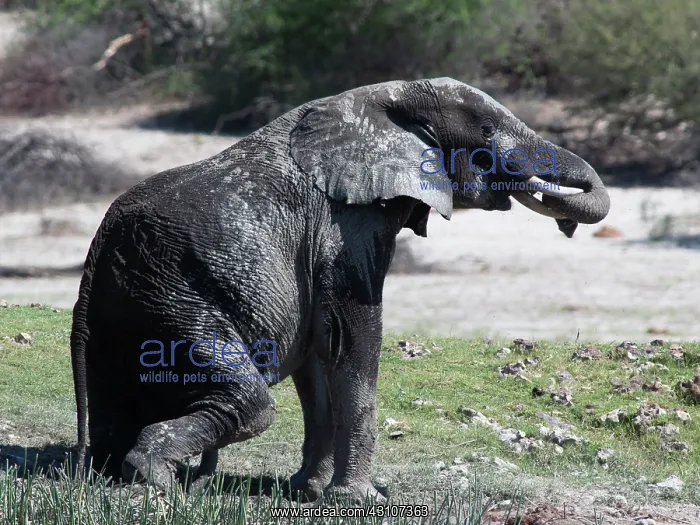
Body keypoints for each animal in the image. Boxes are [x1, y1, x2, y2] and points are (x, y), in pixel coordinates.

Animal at [70, 77, 610, 504]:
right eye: (487, 132)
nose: (564, 222)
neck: (386, 96)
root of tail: (96, 250)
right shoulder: (347, 225)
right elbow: (354, 338)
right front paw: (359, 500)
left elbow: (318, 353)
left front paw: (307, 490)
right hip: (174, 295)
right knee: (251, 404)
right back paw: (160, 480)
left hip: (130, 304)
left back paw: (120, 473)